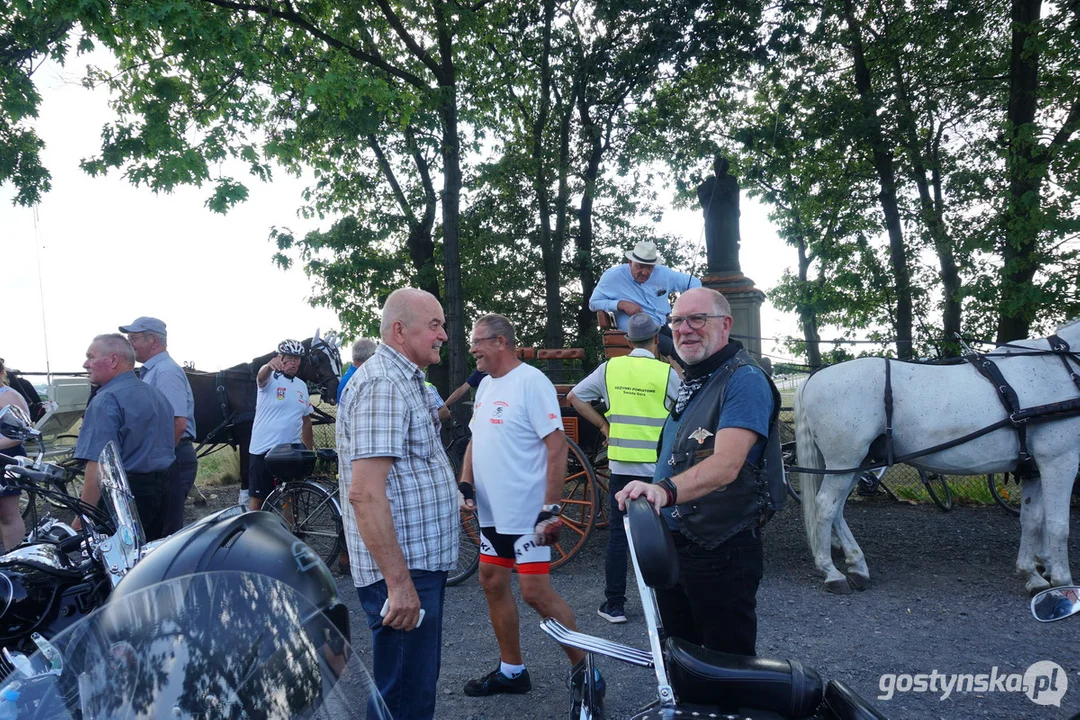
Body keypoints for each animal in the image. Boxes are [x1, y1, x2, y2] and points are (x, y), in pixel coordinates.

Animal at [794, 321, 1080, 595]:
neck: (1060, 369)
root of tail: (814, 376)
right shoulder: (1060, 460)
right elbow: (1058, 525)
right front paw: (1063, 581)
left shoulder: (1035, 468)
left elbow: (1033, 520)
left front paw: (1034, 573)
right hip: (845, 461)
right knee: (825, 506)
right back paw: (831, 572)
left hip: (856, 462)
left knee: (837, 509)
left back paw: (857, 565)